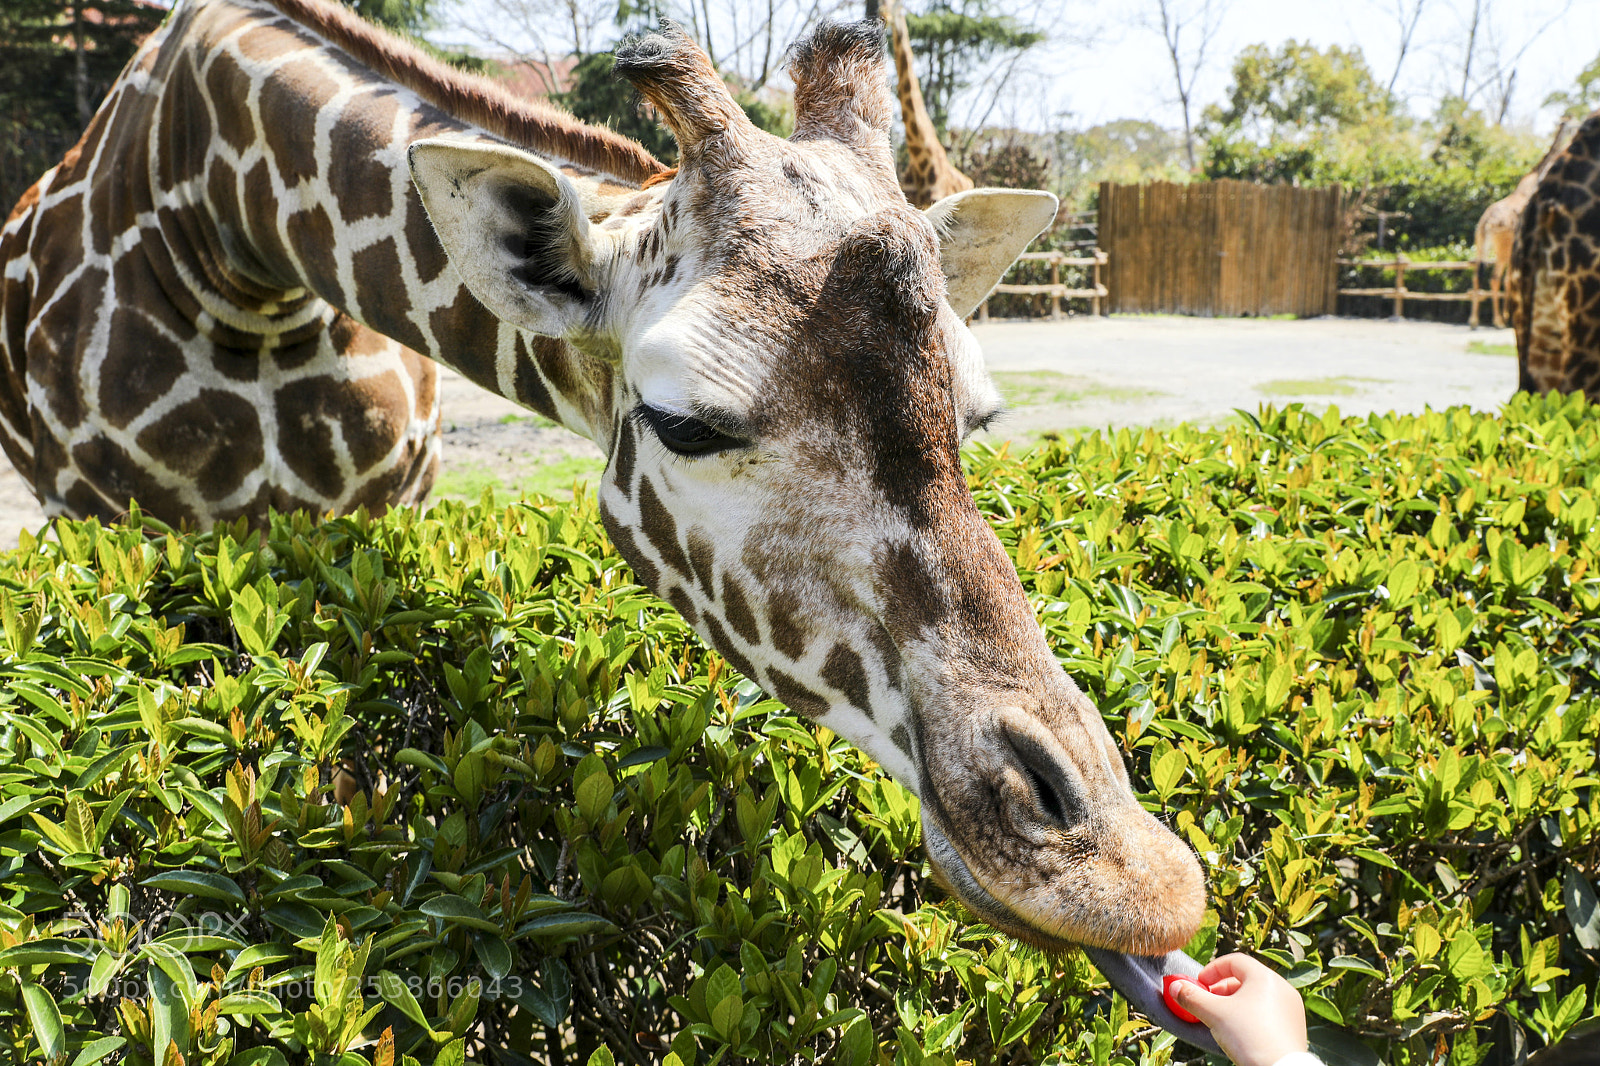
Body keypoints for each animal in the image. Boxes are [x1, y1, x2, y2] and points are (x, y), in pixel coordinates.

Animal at [1474, 118, 1575, 329]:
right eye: (1572, 123)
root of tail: (1485, 223)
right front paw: (1509, 316)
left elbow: (1511, 279)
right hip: (1502, 247)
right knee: (1494, 277)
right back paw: (1497, 321)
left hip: (1481, 243)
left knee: (1478, 274)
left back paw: (1474, 320)